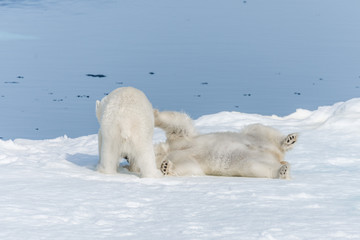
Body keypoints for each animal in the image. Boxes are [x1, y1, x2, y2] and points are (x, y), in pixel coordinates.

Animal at [155, 109, 298, 179]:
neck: (166, 151)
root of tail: (277, 156)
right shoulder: (181, 157)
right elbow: (190, 168)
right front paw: (165, 167)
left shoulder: (181, 140)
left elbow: (179, 125)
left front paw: (155, 114)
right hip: (249, 162)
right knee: (257, 167)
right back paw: (283, 171)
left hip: (255, 137)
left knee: (259, 129)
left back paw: (289, 139)